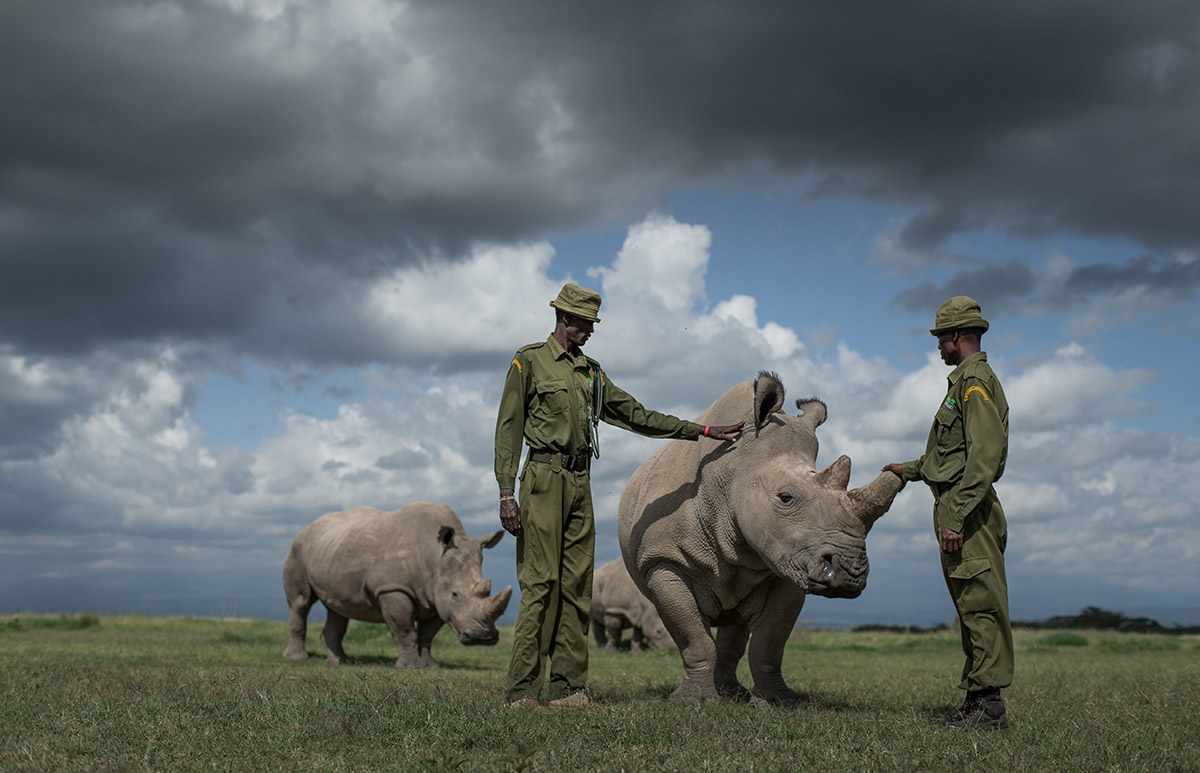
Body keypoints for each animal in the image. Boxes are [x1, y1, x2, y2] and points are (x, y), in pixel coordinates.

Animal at [283, 504, 513, 667]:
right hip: (297, 547)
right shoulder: (393, 588)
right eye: (455, 594)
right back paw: (297, 659)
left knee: (338, 608)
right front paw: (410, 666)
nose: (482, 637)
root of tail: (307, 527)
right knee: (300, 602)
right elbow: (404, 629)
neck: (434, 558)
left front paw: (430, 666)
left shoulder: (436, 596)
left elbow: (427, 634)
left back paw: (341, 662)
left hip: (333, 548)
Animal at [619, 372, 902, 705]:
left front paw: (778, 702)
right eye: (785, 497)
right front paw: (693, 703)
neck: (735, 469)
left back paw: (733, 693)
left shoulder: (789, 561)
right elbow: (694, 638)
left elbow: (769, 642)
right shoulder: (664, 560)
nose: (849, 573)